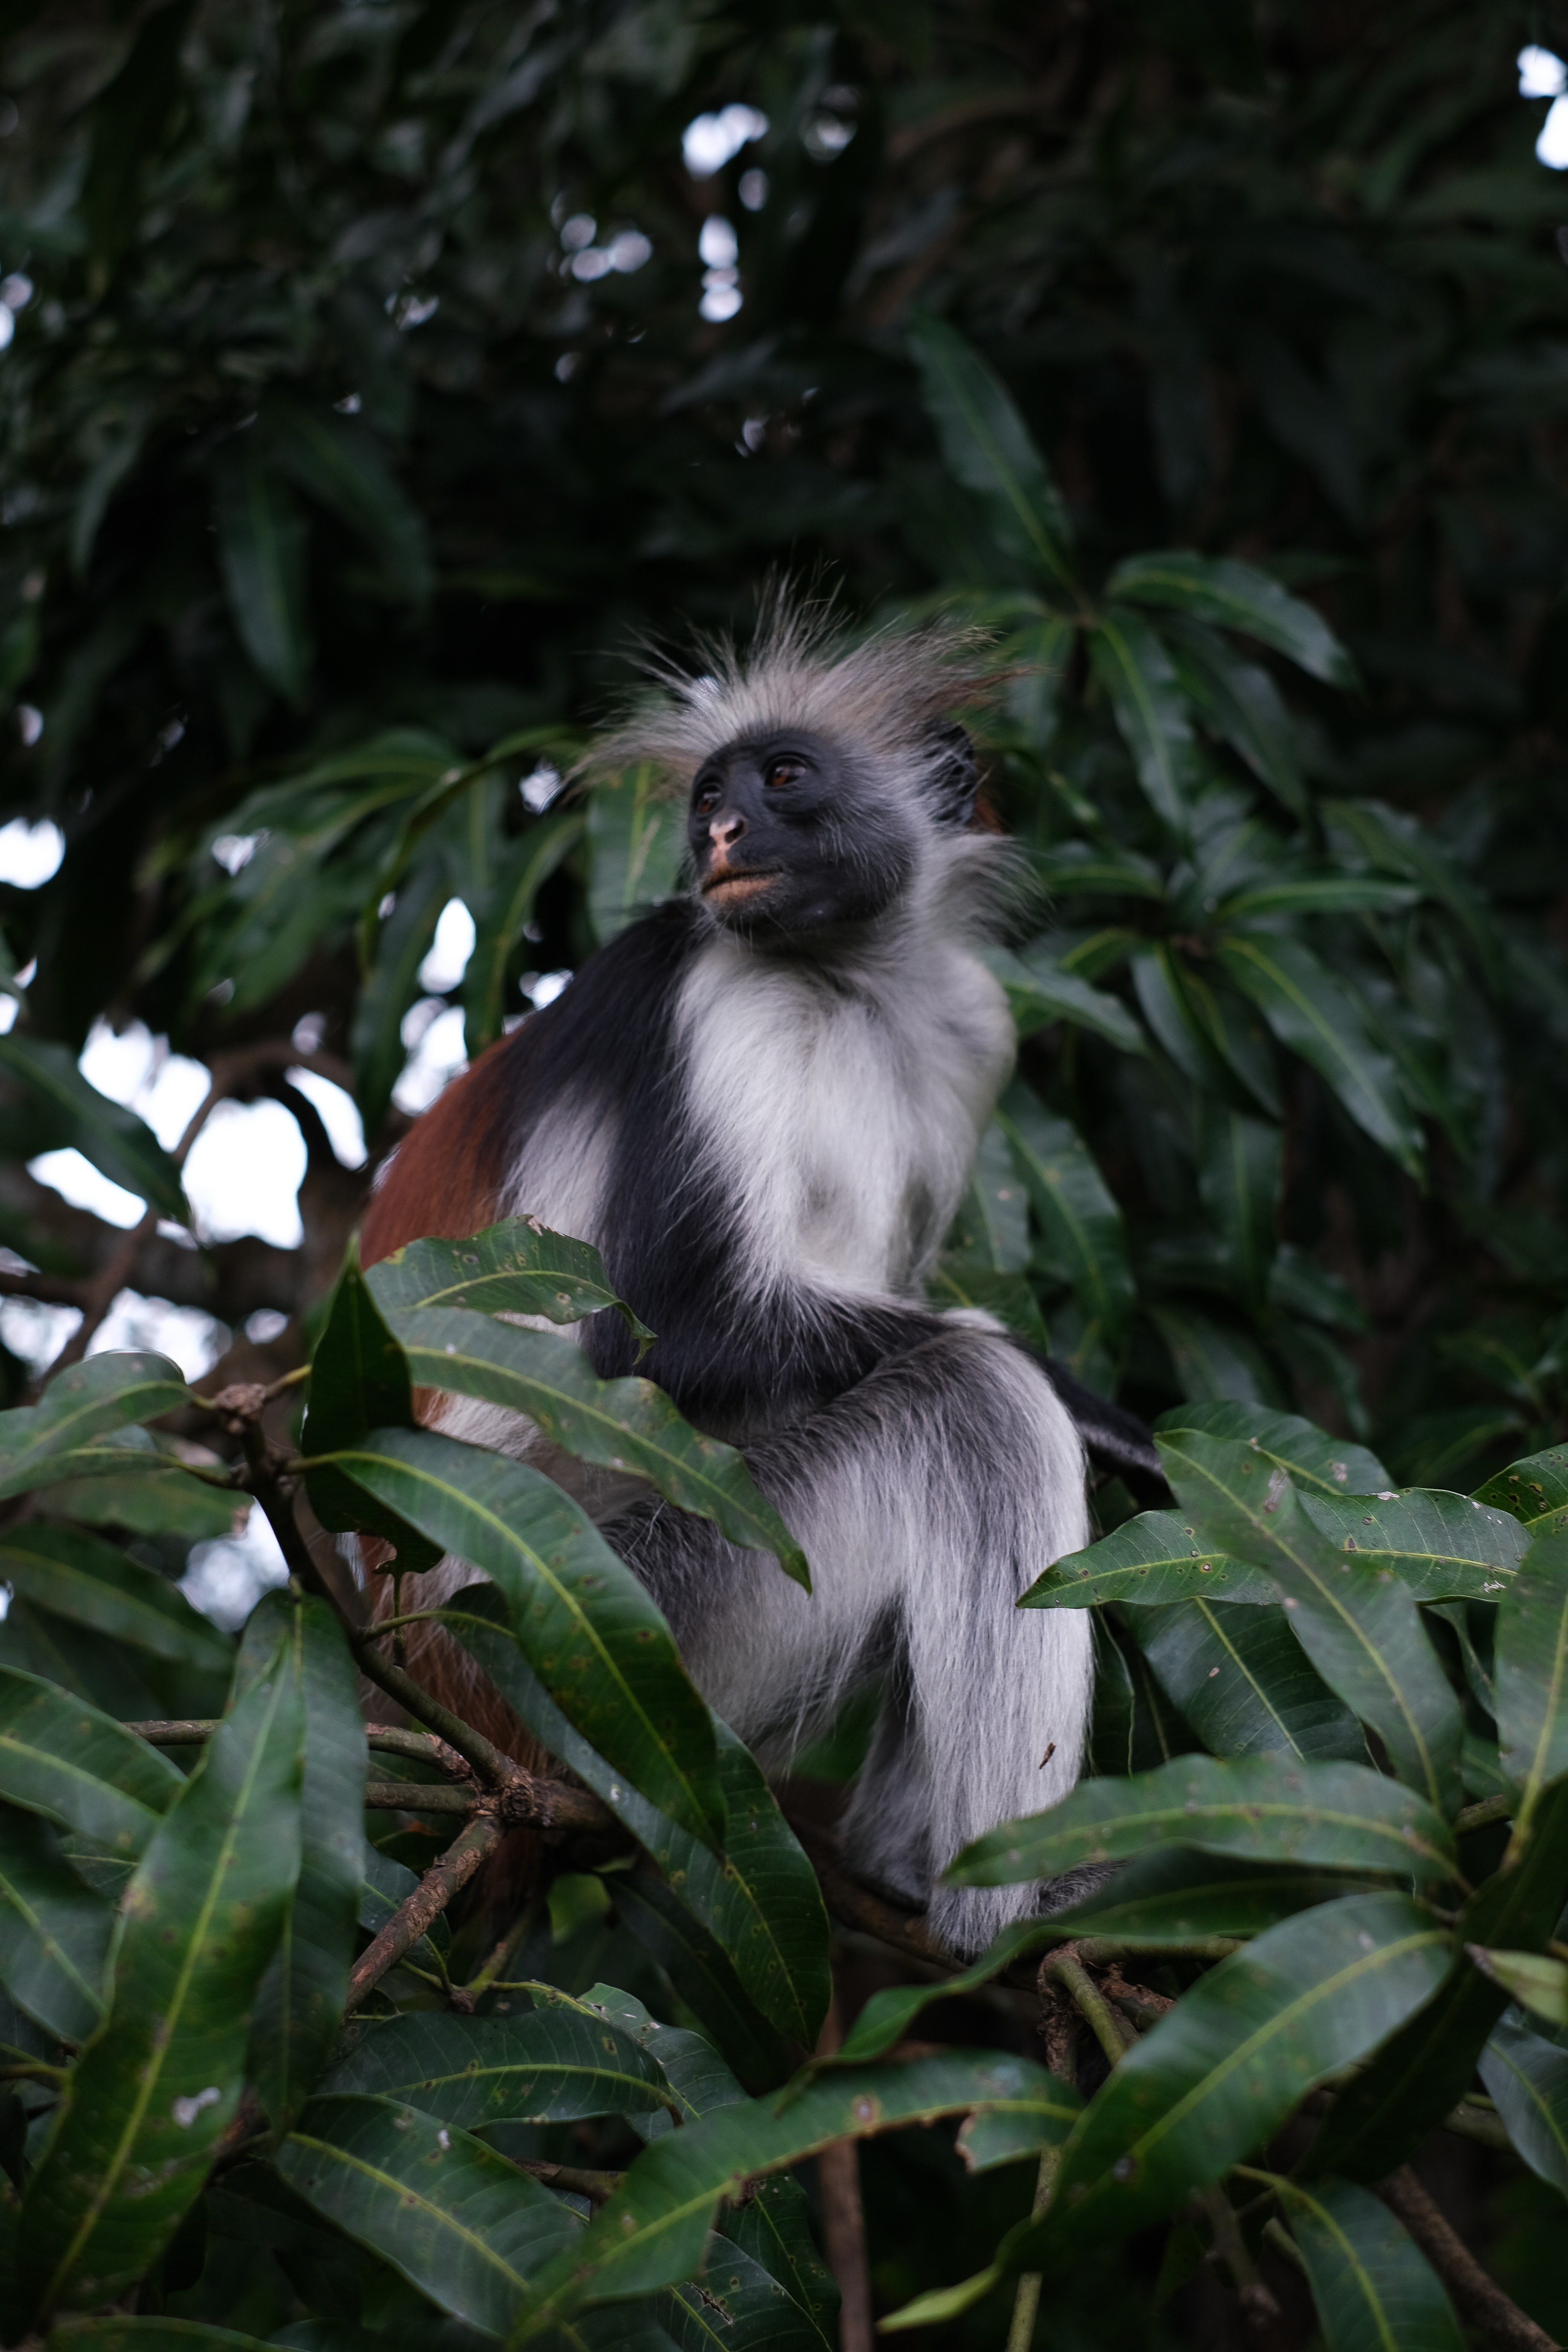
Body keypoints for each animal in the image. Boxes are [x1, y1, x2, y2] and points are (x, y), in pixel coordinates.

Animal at [362, 602, 1161, 1947]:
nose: (721, 835)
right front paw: (1101, 1416)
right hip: (597, 1638)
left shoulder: (970, 1028)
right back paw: (996, 1906)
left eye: (783, 779)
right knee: (973, 1404)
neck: (849, 979)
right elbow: (673, 1332)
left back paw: (906, 1862)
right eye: (707, 797)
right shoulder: (714, 985)